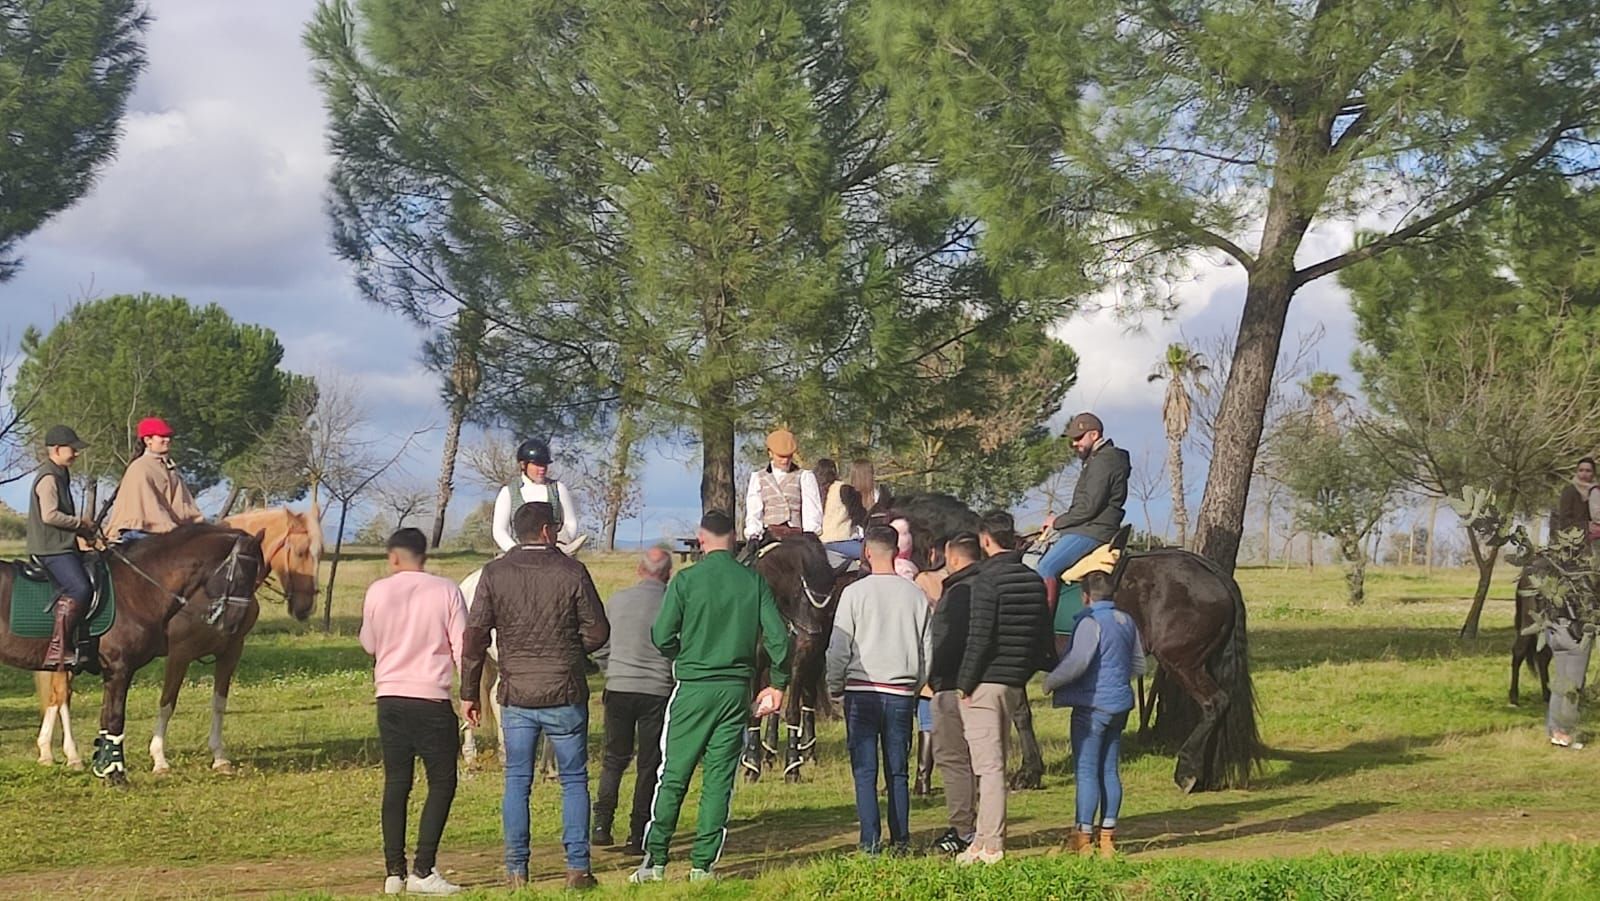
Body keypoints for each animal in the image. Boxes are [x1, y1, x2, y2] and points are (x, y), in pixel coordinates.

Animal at [3, 524, 265, 787]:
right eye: (242, 577)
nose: (233, 625)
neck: (136, 588)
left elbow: (107, 718)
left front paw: (104, 769)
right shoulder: (126, 668)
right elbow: (118, 718)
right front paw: (119, 773)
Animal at [35, 508, 321, 774]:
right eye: (300, 552)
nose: (306, 607)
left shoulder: (231, 651)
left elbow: (219, 703)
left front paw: (220, 756)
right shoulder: (180, 653)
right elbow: (167, 702)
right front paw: (159, 758)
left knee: (57, 695)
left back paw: (48, 751)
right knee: (62, 695)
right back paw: (71, 755)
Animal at [896, 492, 1254, 796]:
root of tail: (1210, 571)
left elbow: (1020, 714)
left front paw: (1028, 773)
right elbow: (1020, 713)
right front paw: (1029, 770)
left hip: (1182, 662)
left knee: (1215, 703)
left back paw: (1188, 770)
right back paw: (1205, 773)